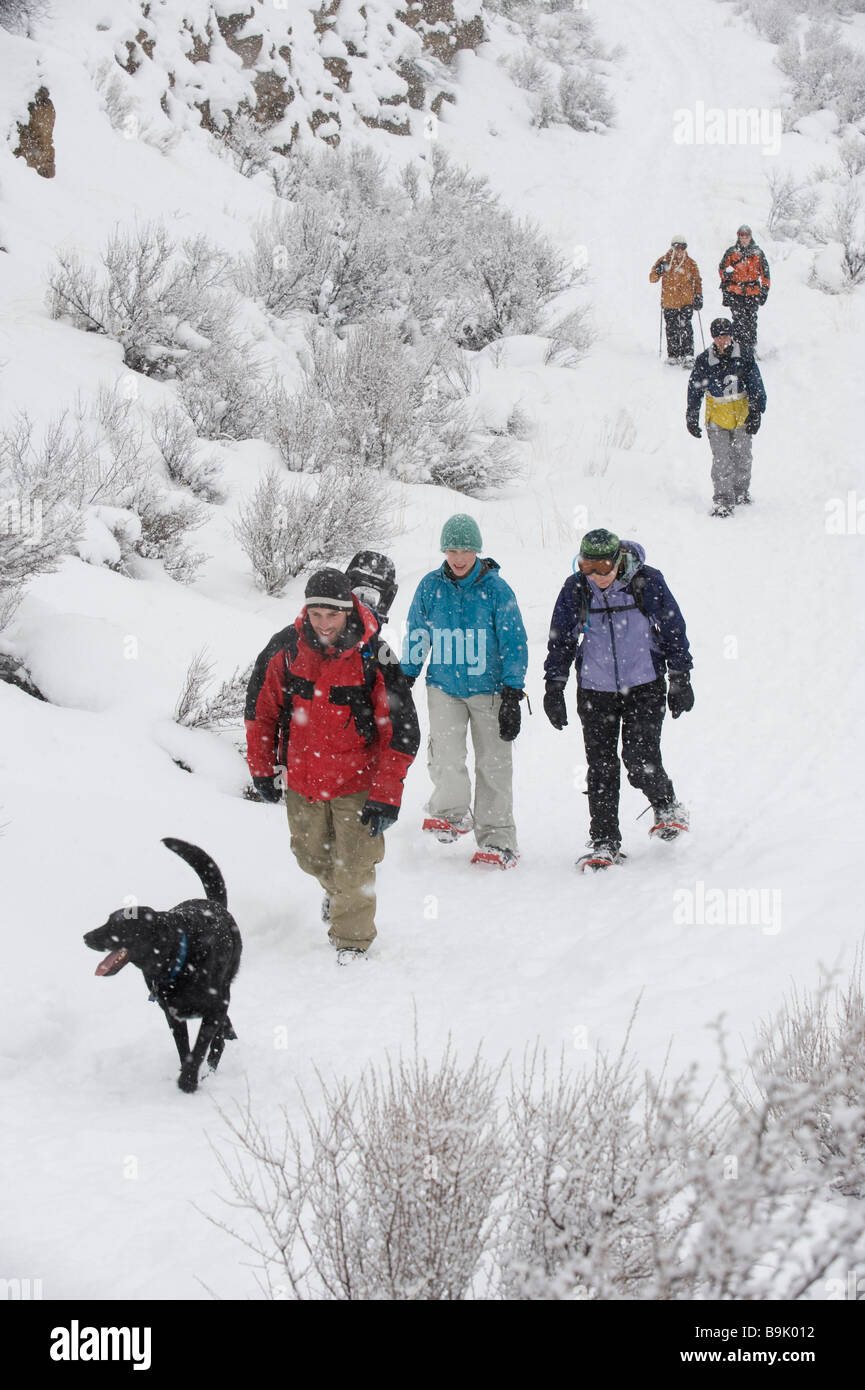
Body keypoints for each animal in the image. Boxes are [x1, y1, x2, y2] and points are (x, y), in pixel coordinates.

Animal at [84, 839, 241, 1089]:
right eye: (107, 920)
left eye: (117, 926)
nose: (86, 937)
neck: (179, 962)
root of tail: (212, 903)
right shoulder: (172, 1015)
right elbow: (185, 1049)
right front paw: (186, 1075)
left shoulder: (214, 1006)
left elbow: (200, 1046)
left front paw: (188, 1083)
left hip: (224, 990)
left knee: (219, 1038)